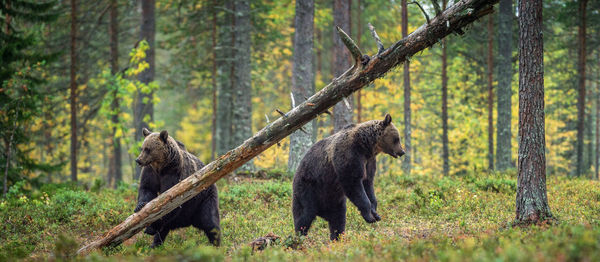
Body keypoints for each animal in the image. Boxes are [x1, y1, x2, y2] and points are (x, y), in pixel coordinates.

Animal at [292, 113, 406, 241]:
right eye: (397, 138)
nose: (402, 151)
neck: (366, 146)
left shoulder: (369, 161)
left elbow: (368, 184)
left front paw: (375, 213)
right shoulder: (349, 154)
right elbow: (353, 182)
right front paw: (369, 216)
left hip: (334, 199)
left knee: (338, 218)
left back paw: (336, 237)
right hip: (309, 186)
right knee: (304, 214)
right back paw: (299, 237)